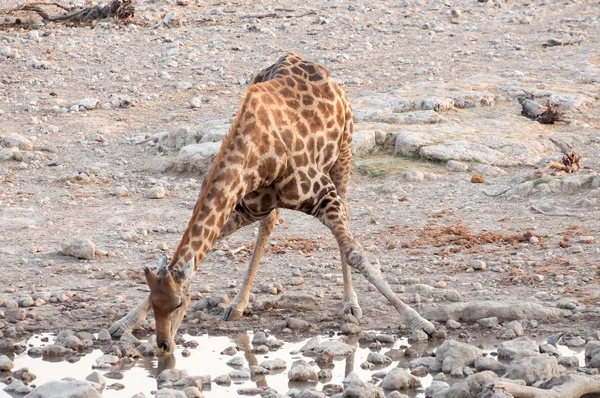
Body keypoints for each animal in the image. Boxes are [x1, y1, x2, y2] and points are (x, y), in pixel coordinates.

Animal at [109, 52, 436, 354]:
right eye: (155, 303)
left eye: (179, 304)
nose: (164, 345)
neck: (257, 155)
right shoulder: (245, 206)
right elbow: (212, 244)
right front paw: (123, 323)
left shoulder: (324, 194)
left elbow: (354, 252)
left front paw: (420, 323)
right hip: (275, 201)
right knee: (269, 226)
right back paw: (238, 304)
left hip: (344, 154)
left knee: (345, 220)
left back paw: (350, 305)